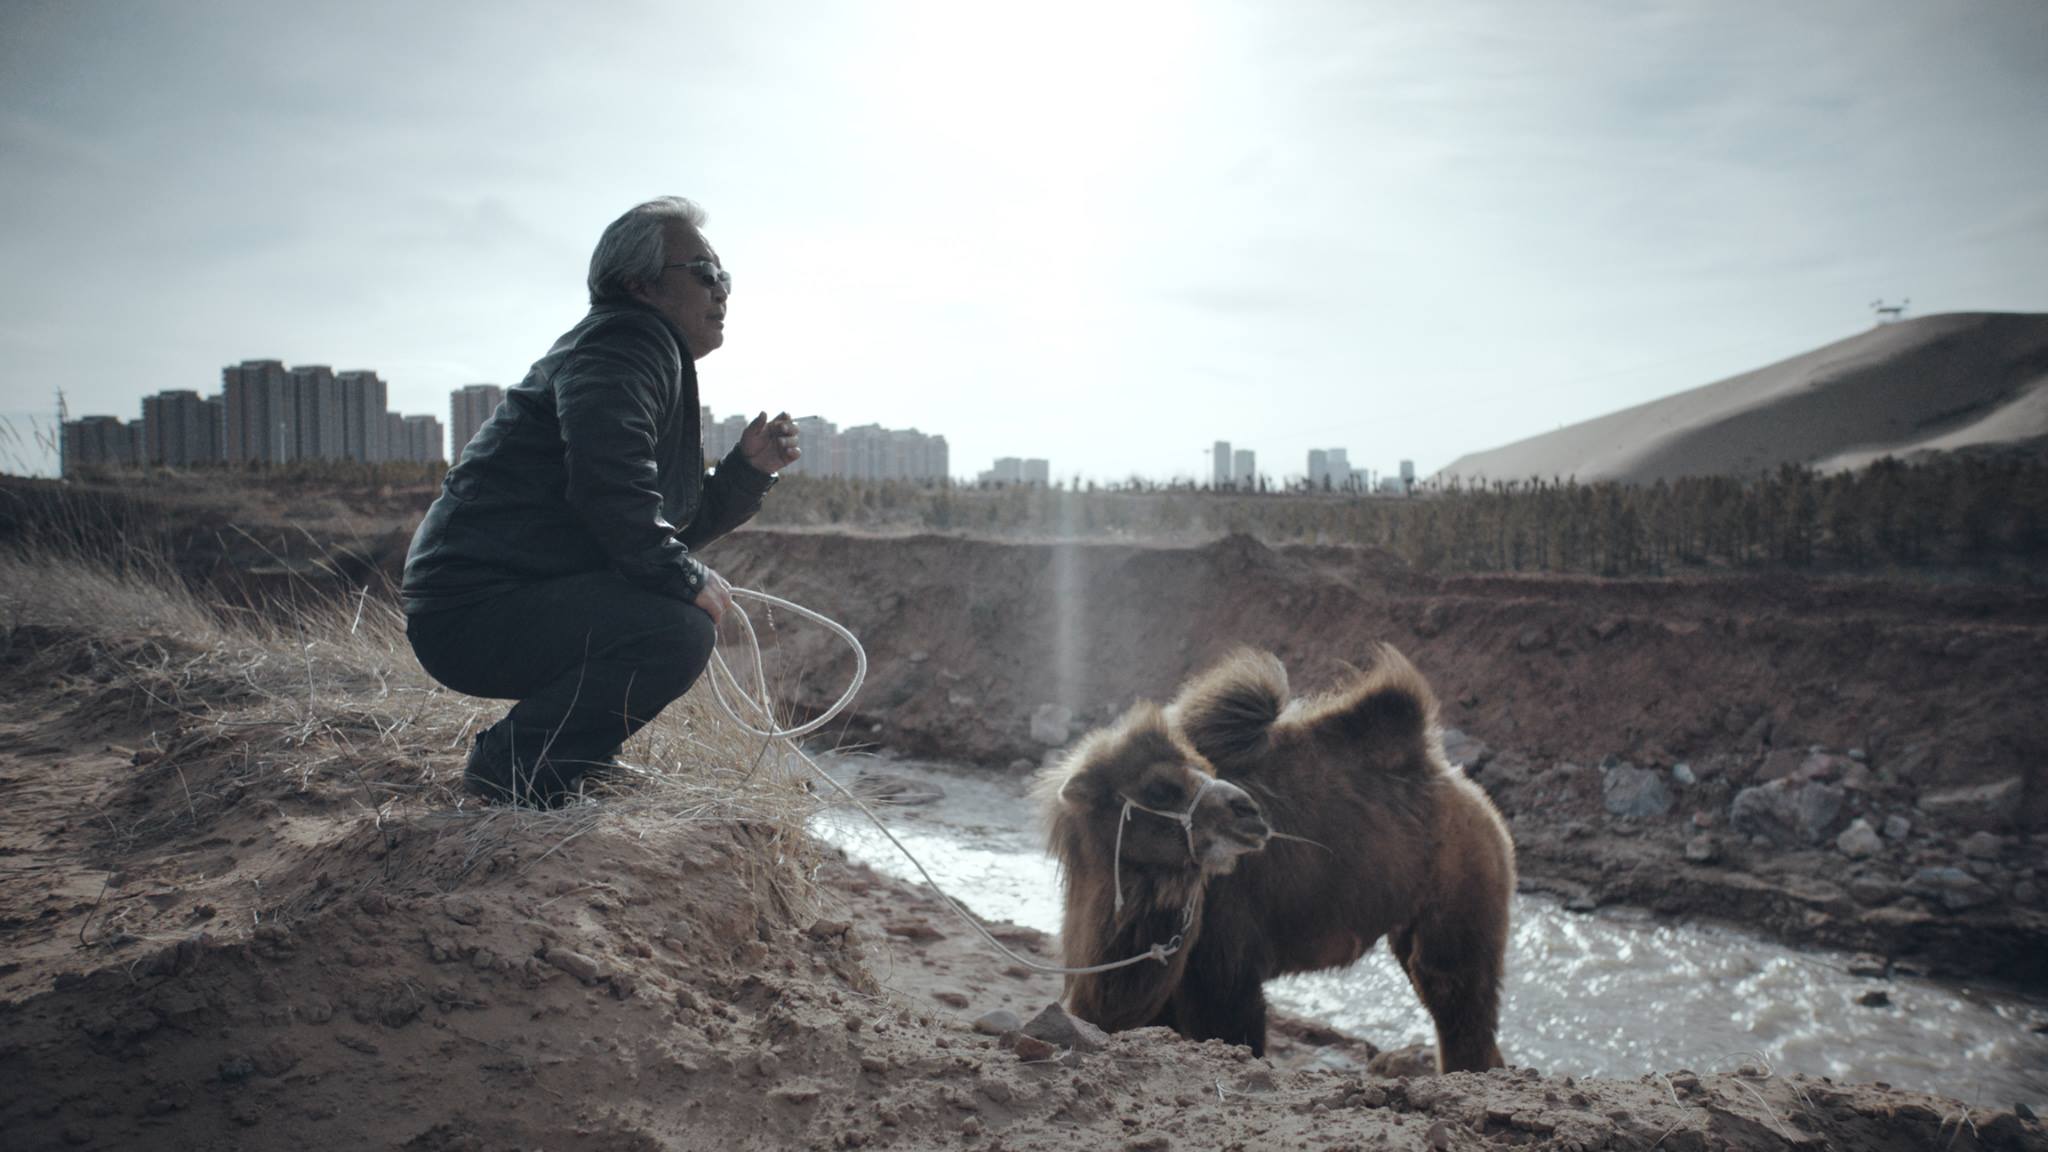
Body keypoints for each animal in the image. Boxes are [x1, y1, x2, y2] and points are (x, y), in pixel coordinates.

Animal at [1040, 647, 1507, 1065]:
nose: (1247, 811)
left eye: (1205, 769)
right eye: (1158, 788)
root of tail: (1466, 791)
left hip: (1462, 890)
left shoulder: (1225, 971)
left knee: (1457, 1000)